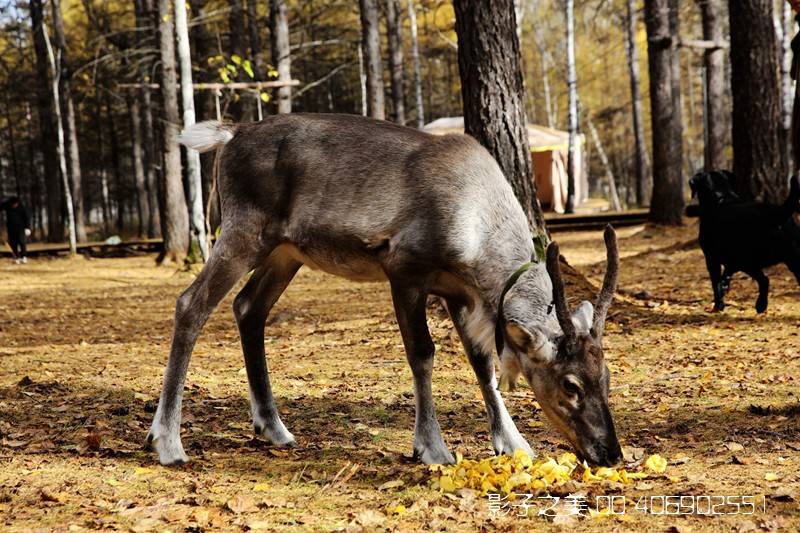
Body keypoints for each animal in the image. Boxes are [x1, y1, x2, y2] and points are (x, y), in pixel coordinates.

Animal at [688, 169, 800, 312]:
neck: (721, 197)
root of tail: (776, 214)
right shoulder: (730, 261)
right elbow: (725, 277)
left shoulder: (712, 259)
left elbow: (716, 283)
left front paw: (718, 305)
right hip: (793, 258)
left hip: (747, 261)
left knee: (764, 280)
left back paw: (760, 305)